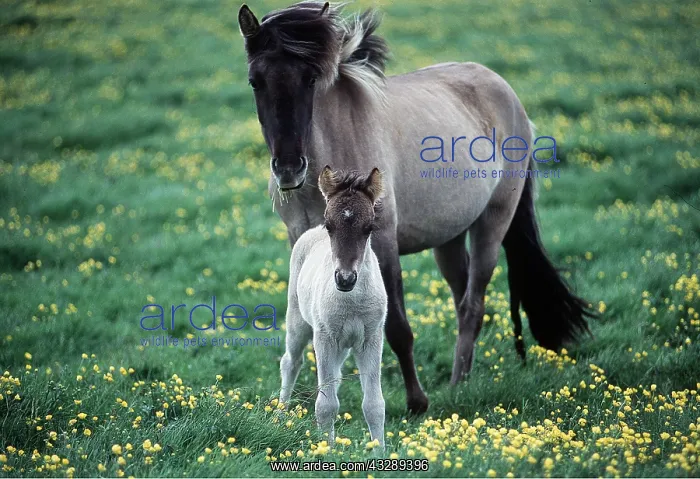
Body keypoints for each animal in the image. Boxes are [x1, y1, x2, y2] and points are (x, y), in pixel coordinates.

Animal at [238, 1, 593, 414]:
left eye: (310, 80)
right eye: (255, 81)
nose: (289, 168)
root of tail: (508, 94)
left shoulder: (382, 242)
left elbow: (397, 327)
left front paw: (416, 402)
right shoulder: (305, 243)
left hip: (493, 224)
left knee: (473, 305)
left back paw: (457, 386)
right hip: (448, 238)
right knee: (462, 299)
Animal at [280, 165, 387, 447]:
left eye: (369, 227)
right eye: (330, 226)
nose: (345, 279)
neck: (352, 302)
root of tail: (311, 231)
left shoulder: (371, 339)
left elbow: (374, 405)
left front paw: (380, 452)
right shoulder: (325, 338)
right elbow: (325, 405)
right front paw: (326, 450)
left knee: (334, 377)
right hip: (298, 322)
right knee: (290, 362)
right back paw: (278, 415)